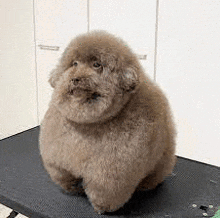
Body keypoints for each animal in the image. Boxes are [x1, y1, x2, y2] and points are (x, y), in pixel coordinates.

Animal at [39, 29, 176, 214]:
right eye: (74, 64)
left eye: (96, 65)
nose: (75, 79)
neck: (88, 124)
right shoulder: (58, 157)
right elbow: (63, 174)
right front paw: (72, 186)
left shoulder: (110, 174)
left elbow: (104, 190)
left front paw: (101, 207)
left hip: (161, 159)